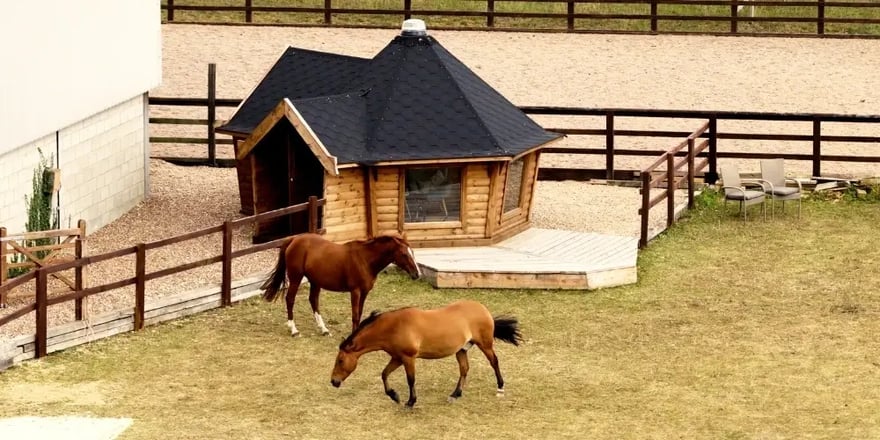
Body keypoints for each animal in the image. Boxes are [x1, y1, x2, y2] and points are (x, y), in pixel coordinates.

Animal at [261, 232, 421, 337]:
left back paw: (323, 329)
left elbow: (360, 312)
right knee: (290, 299)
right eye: (404, 254)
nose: (417, 274)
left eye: (412, 252)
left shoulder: (365, 292)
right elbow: (355, 314)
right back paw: (293, 329)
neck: (365, 260)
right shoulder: (355, 291)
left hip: (315, 281)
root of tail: (294, 239)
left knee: (313, 300)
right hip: (296, 278)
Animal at [330, 300, 523, 408]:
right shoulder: (397, 357)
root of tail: (483, 309)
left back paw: (500, 388)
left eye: (340, 360)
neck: (394, 326)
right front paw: (394, 396)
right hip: (461, 350)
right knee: (464, 369)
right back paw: (455, 395)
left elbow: (410, 380)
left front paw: (410, 402)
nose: (334, 382)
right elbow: (384, 374)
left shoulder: (408, 358)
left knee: (494, 362)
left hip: (485, 345)